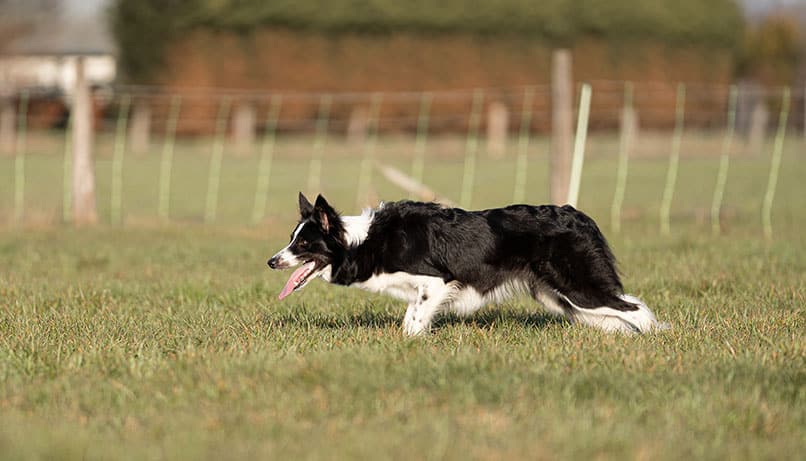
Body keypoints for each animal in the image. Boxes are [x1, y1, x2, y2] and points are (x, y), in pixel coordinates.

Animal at [268, 192, 664, 336]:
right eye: (291, 238)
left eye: (303, 244)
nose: (272, 261)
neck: (362, 241)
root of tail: (579, 216)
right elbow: (411, 319)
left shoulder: (436, 282)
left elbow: (413, 320)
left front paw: (411, 343)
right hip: (558, 297)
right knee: (618, 315)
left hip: (577, 285)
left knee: (634, 307)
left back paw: (654, 337)